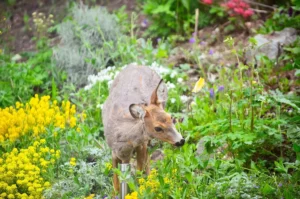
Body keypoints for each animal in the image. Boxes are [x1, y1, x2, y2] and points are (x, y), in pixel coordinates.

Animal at [102, 63, 184, 193]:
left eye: (170, 117)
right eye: (158, 128)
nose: (181, 141)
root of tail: (137, 65)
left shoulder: (140, 145)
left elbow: (139, 171)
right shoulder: (115, 153)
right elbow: (116, 182)